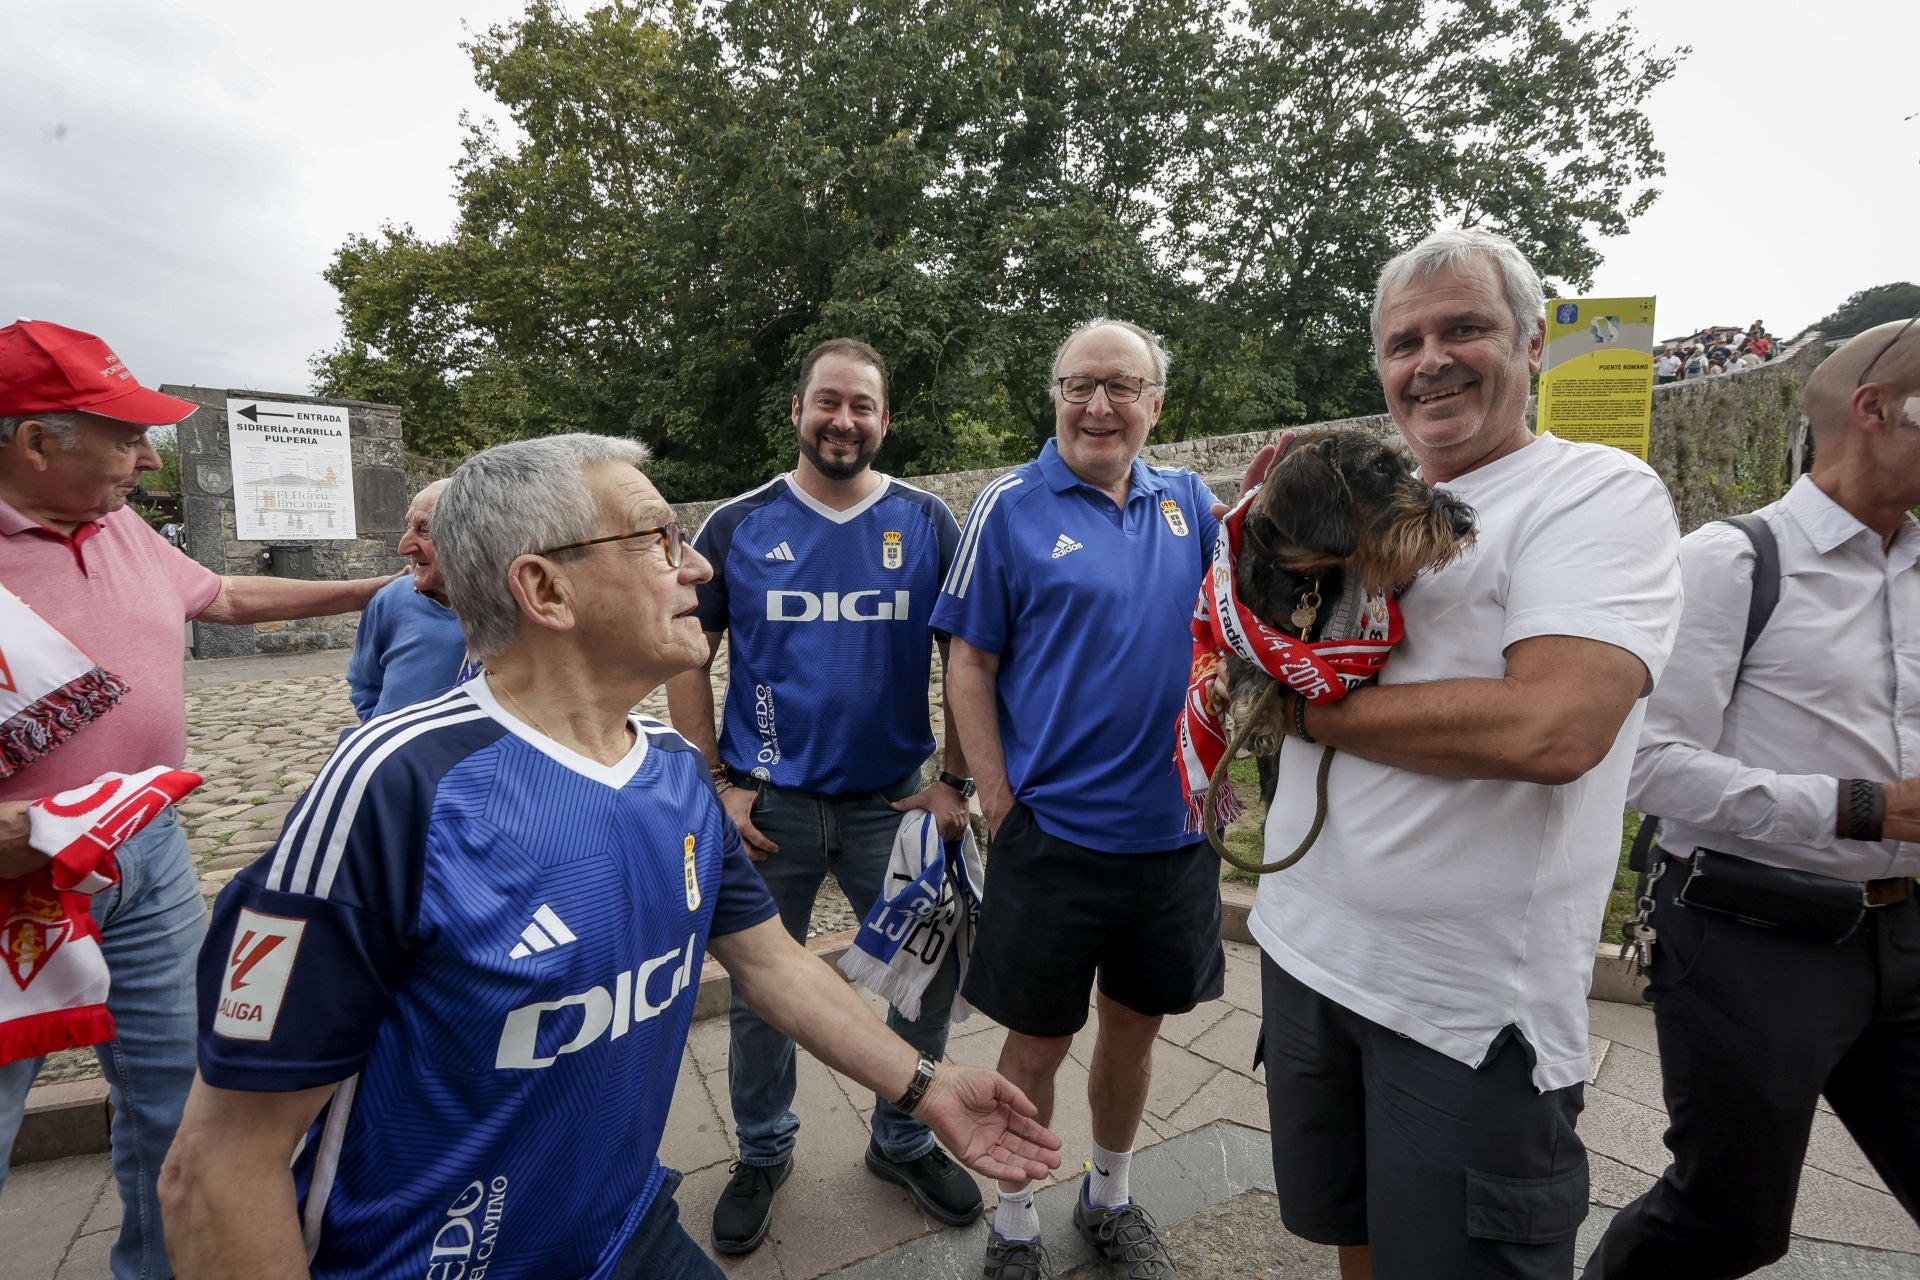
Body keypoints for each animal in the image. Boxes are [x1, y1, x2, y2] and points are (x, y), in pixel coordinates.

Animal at [1213, 429, 1482, 871]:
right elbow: (1246, 666)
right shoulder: (1237, 629)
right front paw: (1259, 719)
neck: (1302, 580)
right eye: (1379, 466)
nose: (1463, 521)